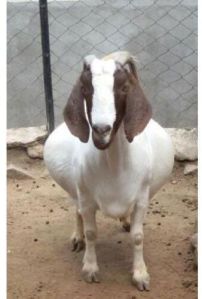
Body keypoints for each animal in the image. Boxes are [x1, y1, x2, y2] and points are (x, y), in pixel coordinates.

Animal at [43, 52, 174, 292]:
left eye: (124, 88)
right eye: (85, 88)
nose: (101, 130)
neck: (114, 165)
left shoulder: (142, 198)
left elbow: (138, 236)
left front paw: (140, 275)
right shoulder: (85, 196)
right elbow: (91, 231)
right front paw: (90, 268)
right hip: (74, 190)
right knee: (76, 211)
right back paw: (77, 239)